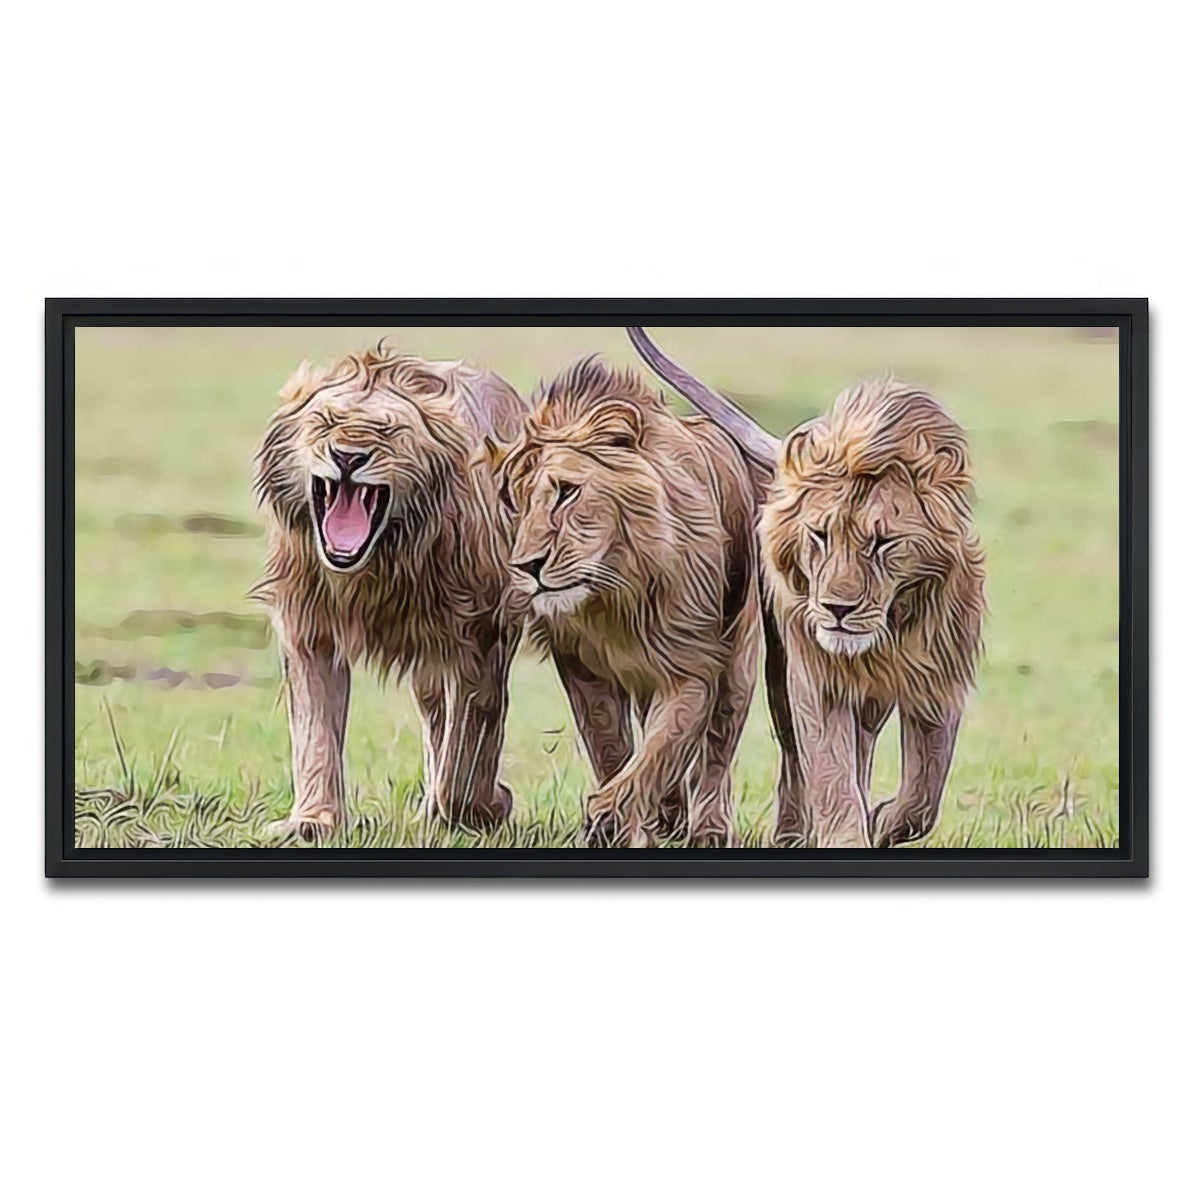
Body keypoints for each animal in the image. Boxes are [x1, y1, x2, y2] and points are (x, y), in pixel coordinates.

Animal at [252, 341, 528, 837]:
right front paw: (313, 820)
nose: (347, 457)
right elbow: (314, 731)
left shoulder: (483, 633)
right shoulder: (309, 628)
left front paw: (485, 806)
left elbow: (470, 746)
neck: (377, 565)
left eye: (388, 430)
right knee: (435, 715)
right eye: (326, 421)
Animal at [492, 357, 760, 848]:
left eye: (566, 490)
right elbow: (612, 748)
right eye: (513, 502)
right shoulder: (581, 667)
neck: (615, 594)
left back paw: (708, 829)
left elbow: (660, 750)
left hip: (738, 663)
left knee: (717, 750)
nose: (528, 566)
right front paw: (622, 824)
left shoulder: (693, 666)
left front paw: (611, 817)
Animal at [628, 328, 985, 848]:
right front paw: (849, 833)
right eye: (819, 534)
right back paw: (793, 833)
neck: (892, 627)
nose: (837, 609)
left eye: (883, 542)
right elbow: (830, 772)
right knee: (798, 757)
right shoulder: (816, 679)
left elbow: (924, 793)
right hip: (778, 669)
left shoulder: (939, 679)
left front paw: (883, 820)